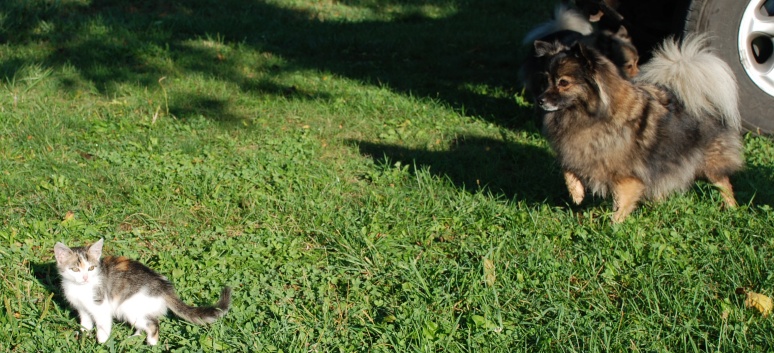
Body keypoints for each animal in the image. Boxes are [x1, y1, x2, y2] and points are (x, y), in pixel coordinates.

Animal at [53, 238, 232, 346]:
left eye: (91, 268)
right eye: (75, 269)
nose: (84, 277)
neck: (81, 288)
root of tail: (164, 286)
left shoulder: (100, 305)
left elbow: (103, 324)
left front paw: (102, 341)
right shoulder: (82, 308)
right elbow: (86, 322)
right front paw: (84, 334)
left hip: (129, 306)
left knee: (153, 324)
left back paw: (151, 344)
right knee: (144, 324)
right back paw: (132, 338)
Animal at [532, 35, 744, 223]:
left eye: (563, 83)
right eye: (546, 81)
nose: (540, 100)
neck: (589, 115)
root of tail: (704, 100)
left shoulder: (626, 176)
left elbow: (621, 203)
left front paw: (613, 227)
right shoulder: (578, 153)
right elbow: (568, 170)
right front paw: (576, 194)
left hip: (708, 164)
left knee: (724, 184)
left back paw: (731, 208)